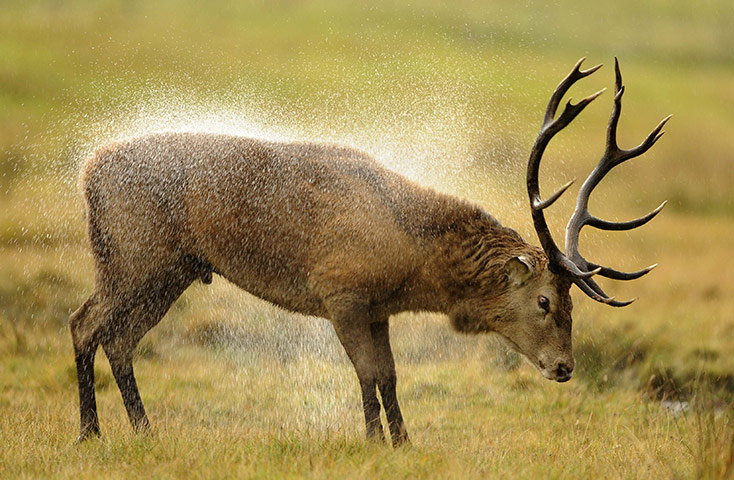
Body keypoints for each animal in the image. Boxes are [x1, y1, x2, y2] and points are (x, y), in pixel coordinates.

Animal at [70, 58, 670, 447]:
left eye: (574, 303)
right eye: (546, 301)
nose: (565, 367)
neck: (412, 265)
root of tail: (88, 172)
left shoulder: (378, 308)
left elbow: (390, 375)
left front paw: (403, 441)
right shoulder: (343, 294)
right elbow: (367, 373)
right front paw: (374, 440)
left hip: (171, 269)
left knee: (120, 338)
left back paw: (144, 431)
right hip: (132, 256)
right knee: (84, 323)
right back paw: (90, 433)